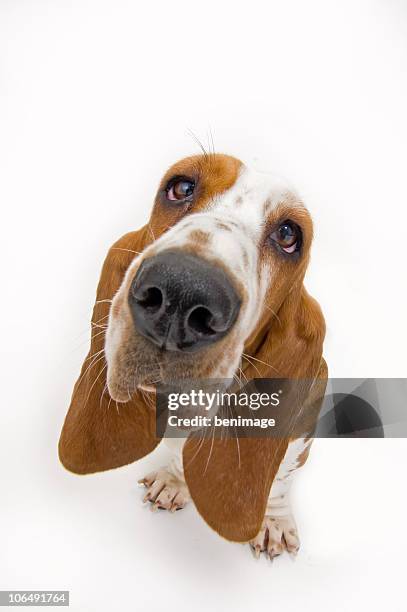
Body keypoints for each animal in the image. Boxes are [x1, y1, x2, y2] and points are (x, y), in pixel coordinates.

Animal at [59, 153, 328, 560]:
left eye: (288, 235)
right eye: (181, 187)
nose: (182, 291)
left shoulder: (298, 438)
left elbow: (280, 481)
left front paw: (275, 520)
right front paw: (173, 481)